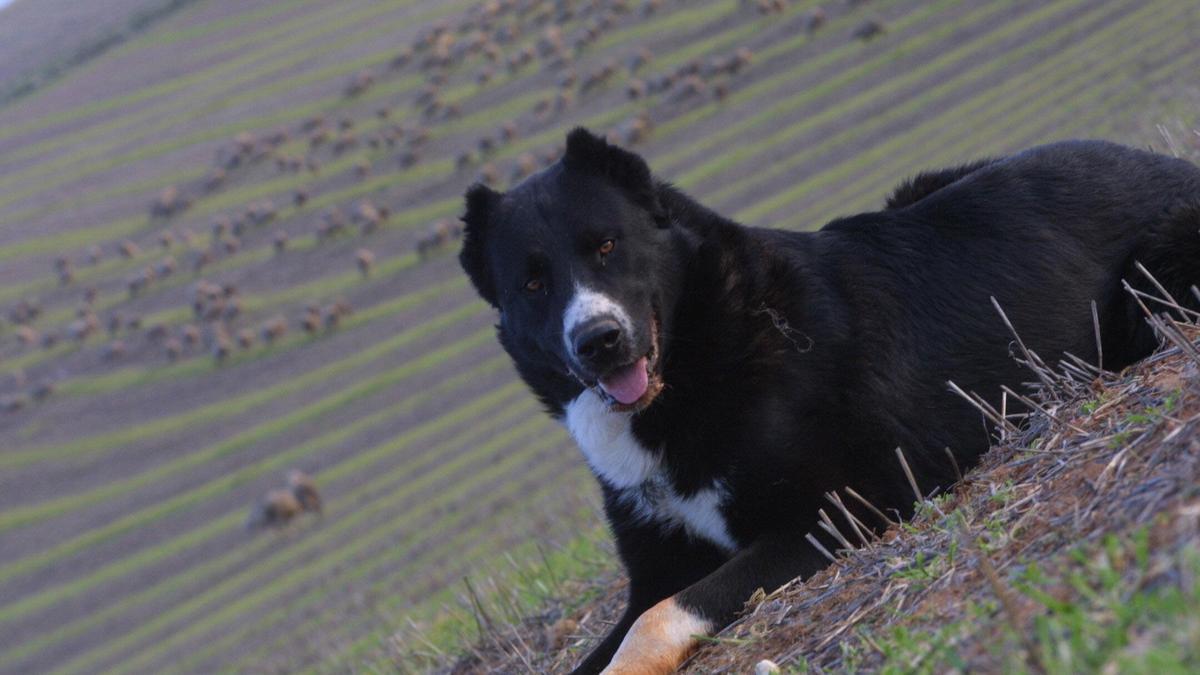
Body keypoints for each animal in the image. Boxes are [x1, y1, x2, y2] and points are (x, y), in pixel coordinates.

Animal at [456, 124, 1200, 667]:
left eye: (607, 245)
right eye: (532, 284)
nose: (598, 341)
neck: (705, 349)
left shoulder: (834, 513)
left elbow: (658, 620)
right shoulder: (656, 568)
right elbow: (606, 638)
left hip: (1153, 283)